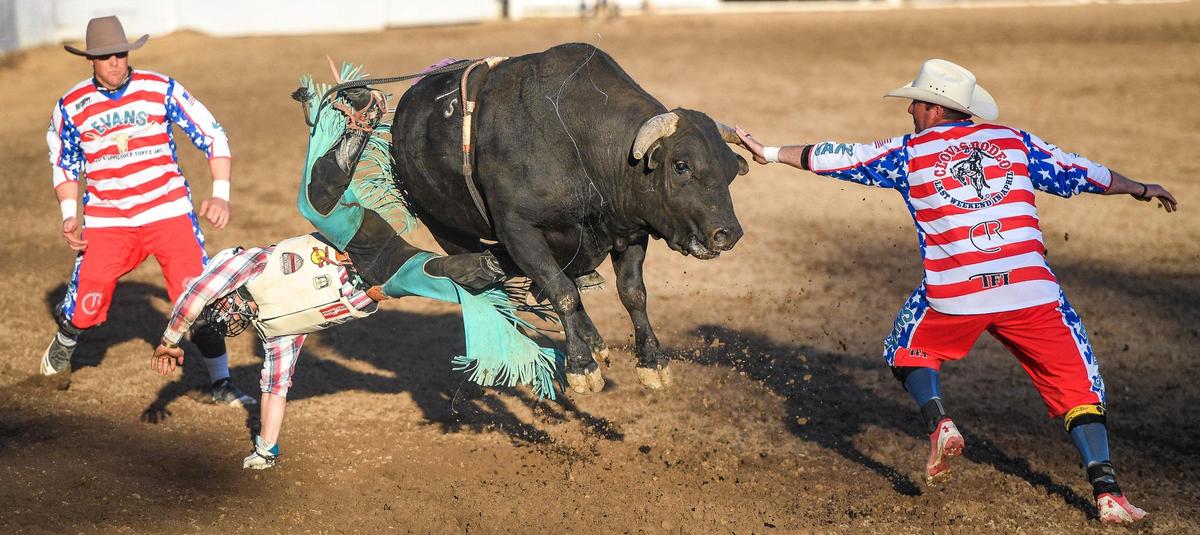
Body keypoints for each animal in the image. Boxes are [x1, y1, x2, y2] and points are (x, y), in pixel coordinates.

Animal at [390, 43, 748, 394]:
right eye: (681, 165)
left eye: (731, 170)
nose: (728, 234)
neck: (577, 144)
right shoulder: (520, 232)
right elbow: (561, 292)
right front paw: (581, 366)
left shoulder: (630, 230)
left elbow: (632, 292)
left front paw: (652, 361)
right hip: (444, 229)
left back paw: (596, 341)